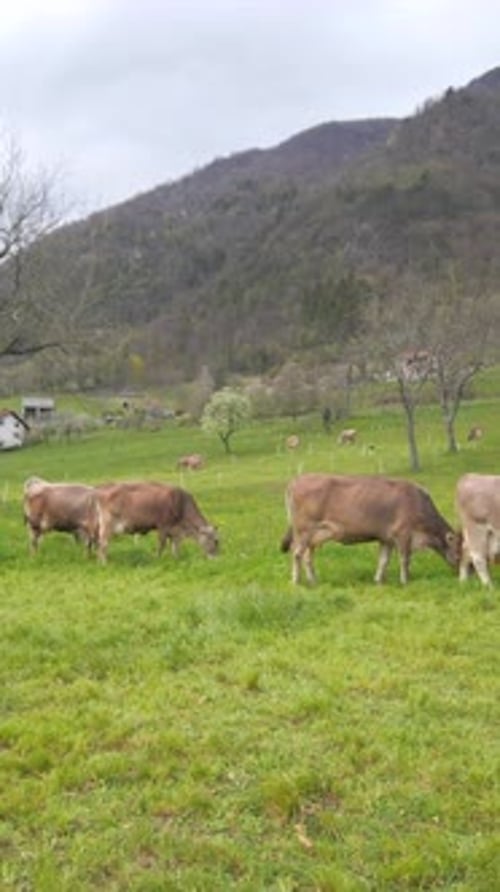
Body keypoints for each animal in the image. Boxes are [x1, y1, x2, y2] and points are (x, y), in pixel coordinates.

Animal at [281, 473, 459, 585]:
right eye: (460, 553)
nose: (463, 572)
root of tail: (297, 479)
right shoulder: (403, 534)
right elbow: (405, 559)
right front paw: (405, 580)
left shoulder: (386, 538)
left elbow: (383, 560)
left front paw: (378, 580)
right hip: (304, 531)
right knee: (297, 554)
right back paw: (296, 581)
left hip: (314, 536)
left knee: (307, 557)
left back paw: (313, 580)